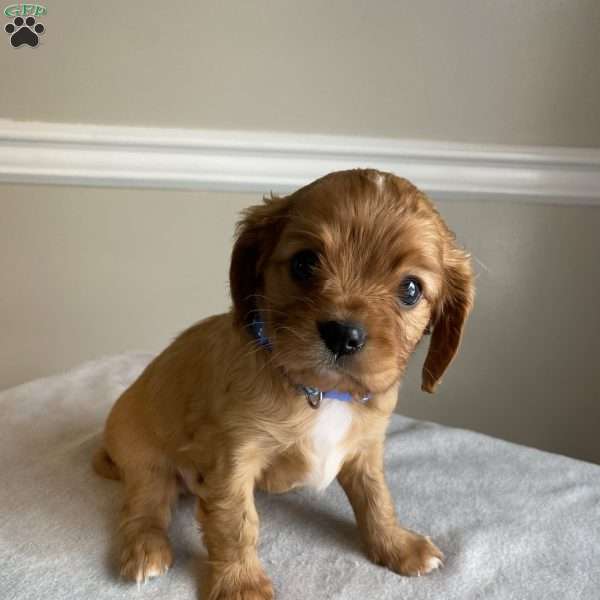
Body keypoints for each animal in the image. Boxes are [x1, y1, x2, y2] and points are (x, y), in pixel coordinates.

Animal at [92, 169, 474, 600]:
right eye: (304, 263)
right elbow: (236, 523)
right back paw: (146, 549)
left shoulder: (366, 449)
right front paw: (241, 584)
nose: (343, 335)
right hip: (144, 457)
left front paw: (396, 545)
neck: (320, 391)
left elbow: (376, 497)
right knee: (144, 505)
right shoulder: (232, 460)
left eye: (410, 289)